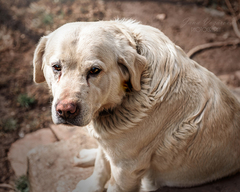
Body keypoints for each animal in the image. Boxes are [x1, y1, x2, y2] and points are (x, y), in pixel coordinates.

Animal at [32, 20, 240, 191]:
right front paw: (91, 186)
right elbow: (100, 168)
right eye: (56, 67)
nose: (66, 111)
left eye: (94, 70)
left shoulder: (126, 170)